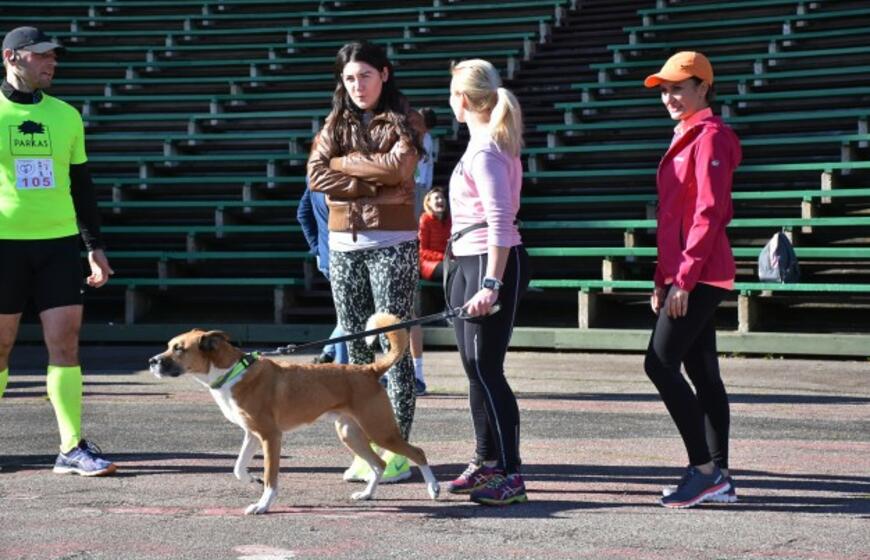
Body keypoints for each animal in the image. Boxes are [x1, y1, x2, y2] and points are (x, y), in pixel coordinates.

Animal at [147, 312, 442, 516]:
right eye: (170, 345)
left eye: (179, 349)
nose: (151, 362)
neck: (233, 372)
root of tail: (369, 370)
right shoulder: (251, 434)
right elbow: (238, 467)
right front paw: (251, 479)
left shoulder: (270, 437)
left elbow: (271, 478)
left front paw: (263, 504)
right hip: (351, 433)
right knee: (378, 464)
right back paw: (367, 494)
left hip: (380, 431)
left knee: (417, 453)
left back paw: (433, 488)